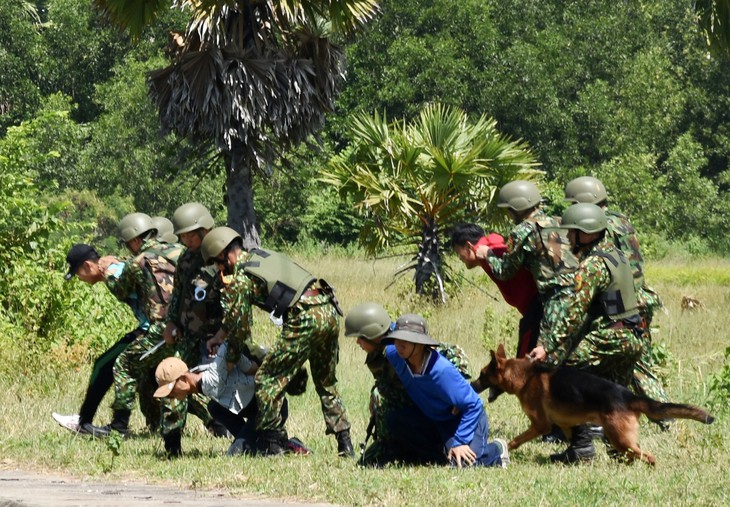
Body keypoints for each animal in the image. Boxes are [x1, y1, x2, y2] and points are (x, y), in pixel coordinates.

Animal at [470, 346, 712, 464]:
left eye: (482, 375)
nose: (471, 384)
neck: (526, 376)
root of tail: (627, 395)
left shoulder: (540, 425)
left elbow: (516, 440)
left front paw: (504, 450)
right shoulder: (566, 423)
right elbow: (575, 439)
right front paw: (576, 456)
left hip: (620, 437)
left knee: (648, 456)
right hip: (620, 438)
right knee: (633, 454)